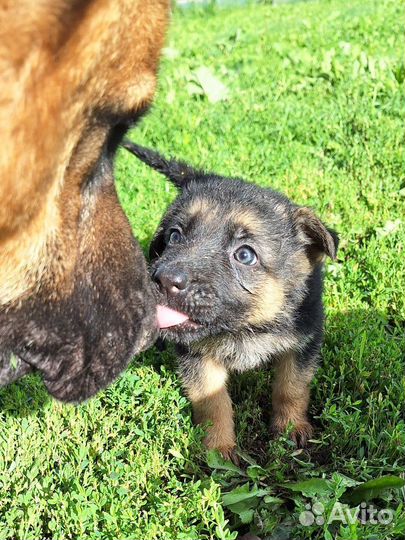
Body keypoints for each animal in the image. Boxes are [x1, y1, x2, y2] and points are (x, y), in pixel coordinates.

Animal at [124, 140, 338, 460]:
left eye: (245, 255)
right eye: (174, 236)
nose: (163, 280)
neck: (244, 329)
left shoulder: (303, 341)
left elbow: (291, 387)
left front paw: (291, 428)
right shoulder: (197, 357)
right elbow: (212, 401)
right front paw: (219, 448)